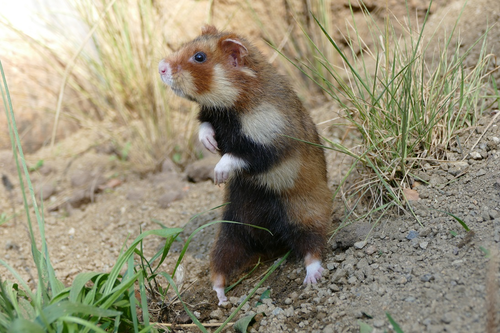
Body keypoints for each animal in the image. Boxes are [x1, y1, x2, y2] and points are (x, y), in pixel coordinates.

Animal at [159, 25, 332, 304]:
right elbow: (204, 126)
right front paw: (209, 143)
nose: (160, 66)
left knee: (312, 248)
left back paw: (311, 279)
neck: (231, 109)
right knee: (220, 267)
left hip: (305, 213)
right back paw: (222, 298)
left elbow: (237, 156)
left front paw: (218, 175)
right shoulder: (213, 116)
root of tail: (271, 243)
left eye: (199, 57)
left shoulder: (271, 140)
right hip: (231, 233)